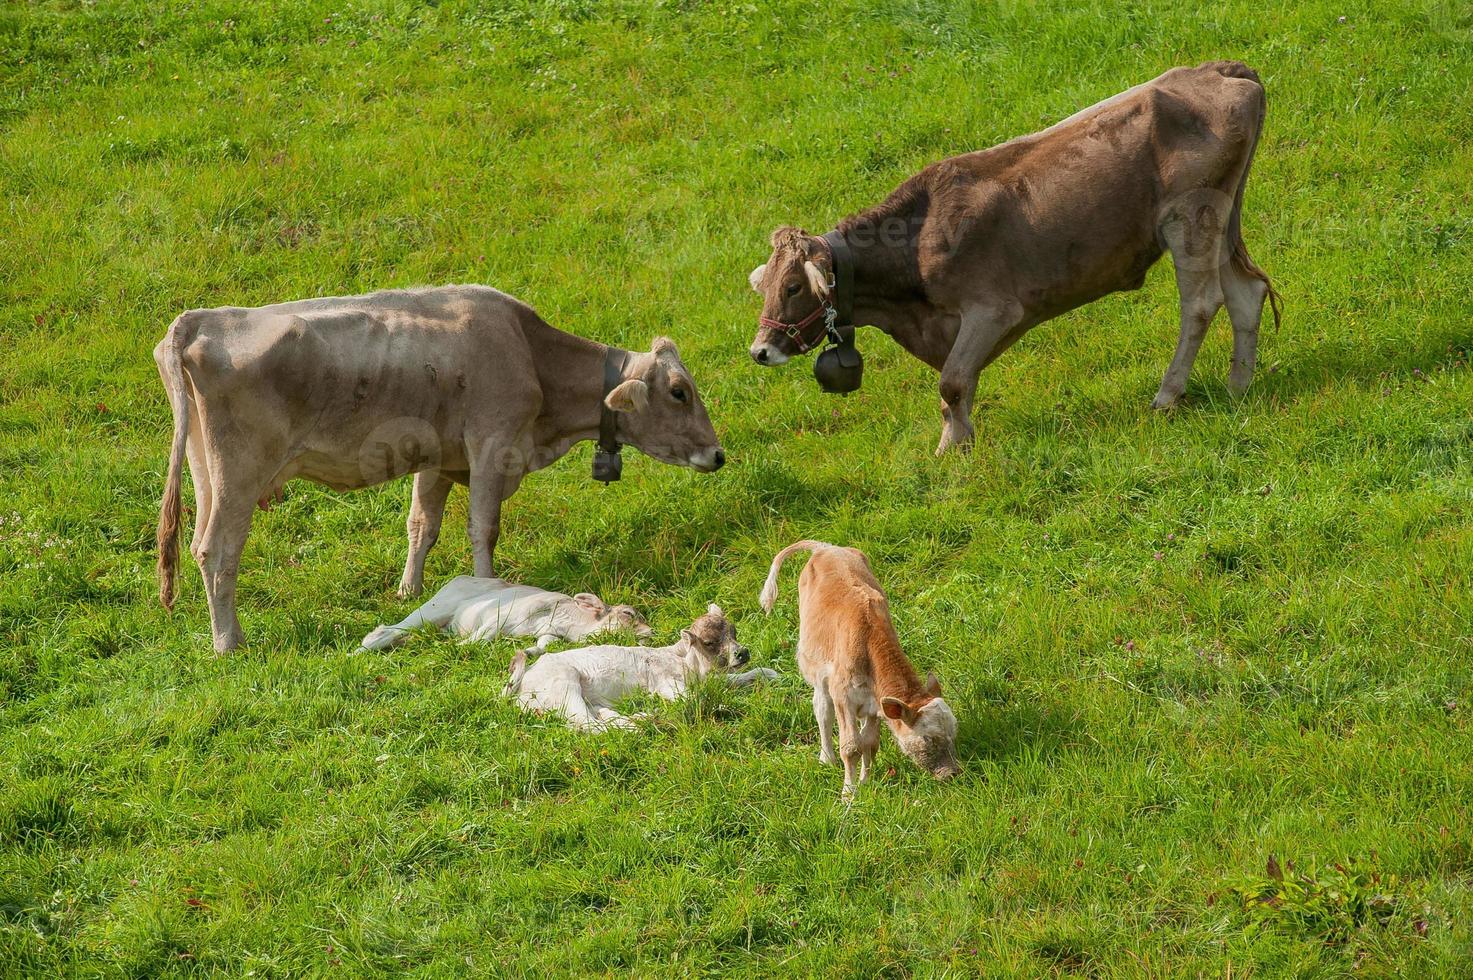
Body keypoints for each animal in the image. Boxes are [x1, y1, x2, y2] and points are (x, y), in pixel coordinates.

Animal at [356, 577, 651, 654]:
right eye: (628, 613)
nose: (651, 633)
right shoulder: (503, 614)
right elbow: (483, 636)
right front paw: (460, 646)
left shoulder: (549, 634)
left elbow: (545, 645)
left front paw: (530, 651)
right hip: (433, 610)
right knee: (384, 631)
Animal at [500, 601, 777, 730]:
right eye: (709, 642)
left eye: (734, 630)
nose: (742, 653)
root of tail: (521, 684)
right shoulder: (666, 684)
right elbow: (696, 699)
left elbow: (733, 680)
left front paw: (770, 674)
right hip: (564, 687)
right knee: (589, 726)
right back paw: (643, 722)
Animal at [748, 57, 1278, 448]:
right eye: (765, 287)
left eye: (792, 287)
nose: (759, 350)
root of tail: (1218, 69)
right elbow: (957, 387)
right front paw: (956, 440)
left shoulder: (995, 309)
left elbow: (952, 382)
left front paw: (954, 447)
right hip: (1222, 215)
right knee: (1246, 294)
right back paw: (1238, 386)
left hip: (1189, 218)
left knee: (1201, 304)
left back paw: (1168, 395)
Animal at [765, 539, 960, 801]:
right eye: (928, 739)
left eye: (953, 732)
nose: (952, 773)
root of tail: (825, 547)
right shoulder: (843, 697)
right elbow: (851, 747)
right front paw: (848, 794)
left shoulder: (875, 705)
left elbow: (869, 743)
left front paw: (865, 781)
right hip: (817, 671)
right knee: (822, 710)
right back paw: (826, 758)